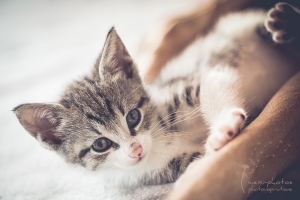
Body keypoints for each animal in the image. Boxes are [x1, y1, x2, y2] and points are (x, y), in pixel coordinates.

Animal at [14, 1, 300, 186]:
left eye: (133, 117)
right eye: (100, 145)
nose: (136, 149)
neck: (159, 142)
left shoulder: (197, 80)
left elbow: (215, 85)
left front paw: (223, 128)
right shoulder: (167, 169)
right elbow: (196, 165)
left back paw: (286, 23)